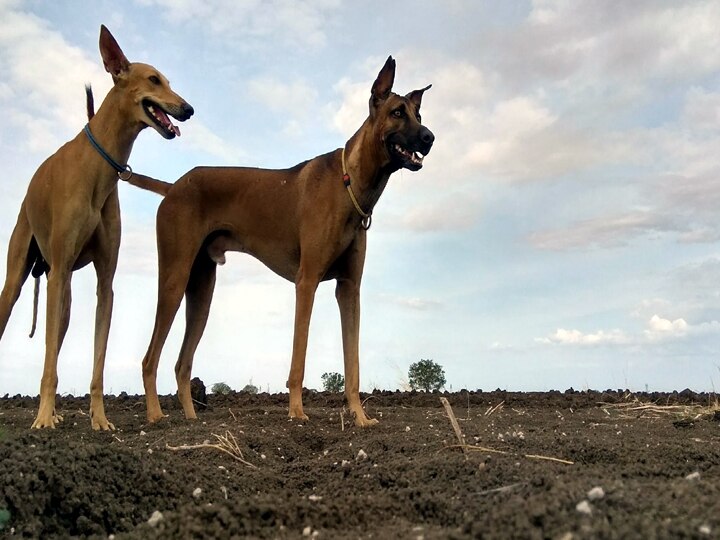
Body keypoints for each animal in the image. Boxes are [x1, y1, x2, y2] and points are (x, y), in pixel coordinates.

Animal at [0, 25, 194, 430]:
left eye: (168, 80)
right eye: (153, 79)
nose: (188, 109)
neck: (99, 164)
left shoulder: (106, 283)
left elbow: (98, 362)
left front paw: (100, 419)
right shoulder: (57, 273)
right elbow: (49, 364)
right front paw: (42, 419)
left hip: (64, 298)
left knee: (56, 343)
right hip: (20, 281)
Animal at [140, 54, 434, 426]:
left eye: (419, 115)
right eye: (397, 112)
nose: (429, 137)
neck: (350, 184)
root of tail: (173, 187)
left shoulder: (349, 290)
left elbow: (352, 364)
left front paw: (360, 418)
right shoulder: (306, 283)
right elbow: (299, 358)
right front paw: (297, 412)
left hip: (202, 293)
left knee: (182, 363)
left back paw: (193, 419)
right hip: (175, 280)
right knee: (149, 359)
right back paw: (155, 416)